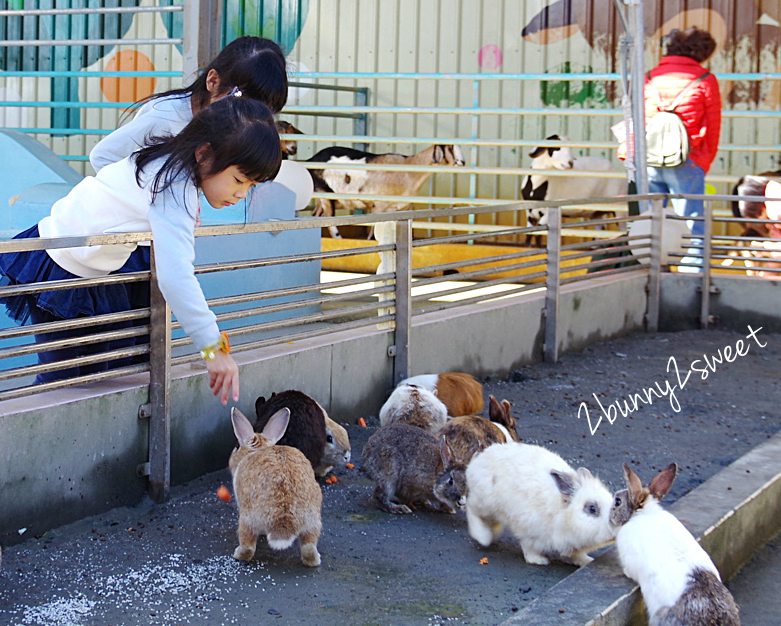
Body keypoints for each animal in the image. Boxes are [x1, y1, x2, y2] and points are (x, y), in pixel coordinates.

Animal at [229, 404, 322, 564]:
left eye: (236, 446)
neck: (260, 448)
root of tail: (284, 518)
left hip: (247, 518)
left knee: (248, 546)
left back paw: (238, 554)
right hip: (313, 521)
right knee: (309, 547)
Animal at [466, 438, 612, 564]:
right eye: (592, 508)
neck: (562, 514)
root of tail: (476, 461)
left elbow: (576, 556)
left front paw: (587, 561)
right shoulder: (528, 530)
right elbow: (529, 548)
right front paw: (539, 561)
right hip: (484, 503)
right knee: (471, 509)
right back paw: (484, 537)